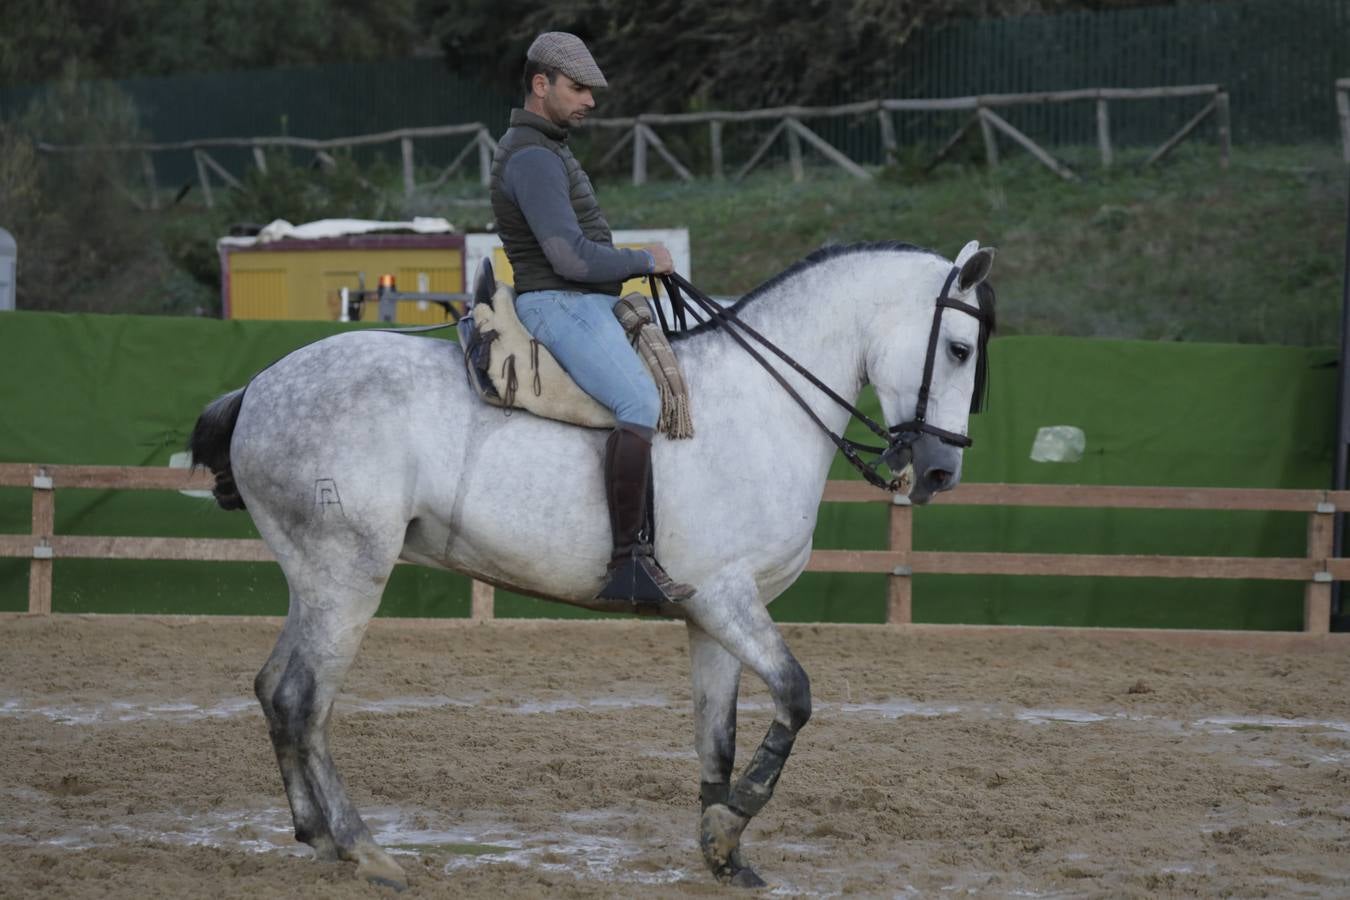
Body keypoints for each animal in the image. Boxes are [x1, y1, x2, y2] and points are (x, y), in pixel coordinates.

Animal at [187, 239, 996, 889]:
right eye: (959, 349)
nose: (940, 472)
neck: (760, 404)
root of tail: (258, 387)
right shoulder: (729, 599)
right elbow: (795, 697)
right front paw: (731, 825)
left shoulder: (712, 616)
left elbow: (718, 737)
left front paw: (724, 853)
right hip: (347, 577)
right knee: (304, 700)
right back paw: (365, 850)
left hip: (315, 580)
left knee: (274, 691)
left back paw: (318, 838)